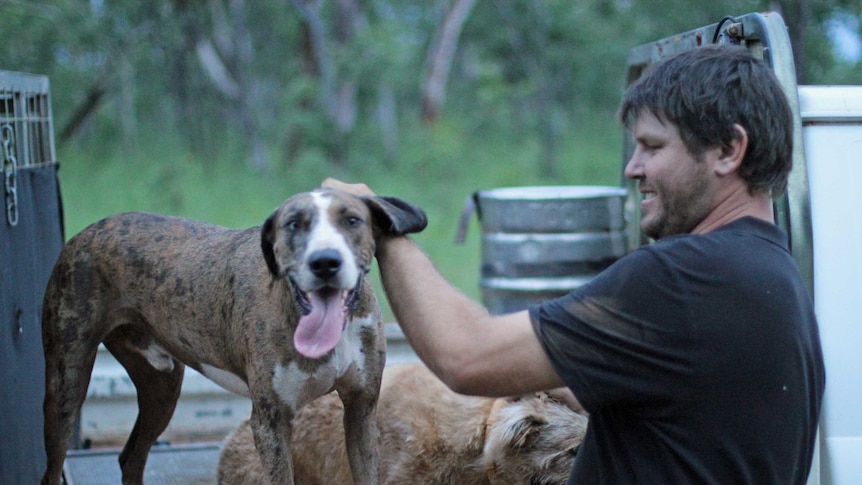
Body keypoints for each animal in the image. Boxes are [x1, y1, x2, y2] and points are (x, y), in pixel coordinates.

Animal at [39, 188, 428, 484]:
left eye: (352, 220)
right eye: (293, 225)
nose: (325, 262)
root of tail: (84, 233)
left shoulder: (361, 411)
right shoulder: (271, 423)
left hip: (161, 386)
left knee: (131, 456)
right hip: (66, 387)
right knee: (53, 467)